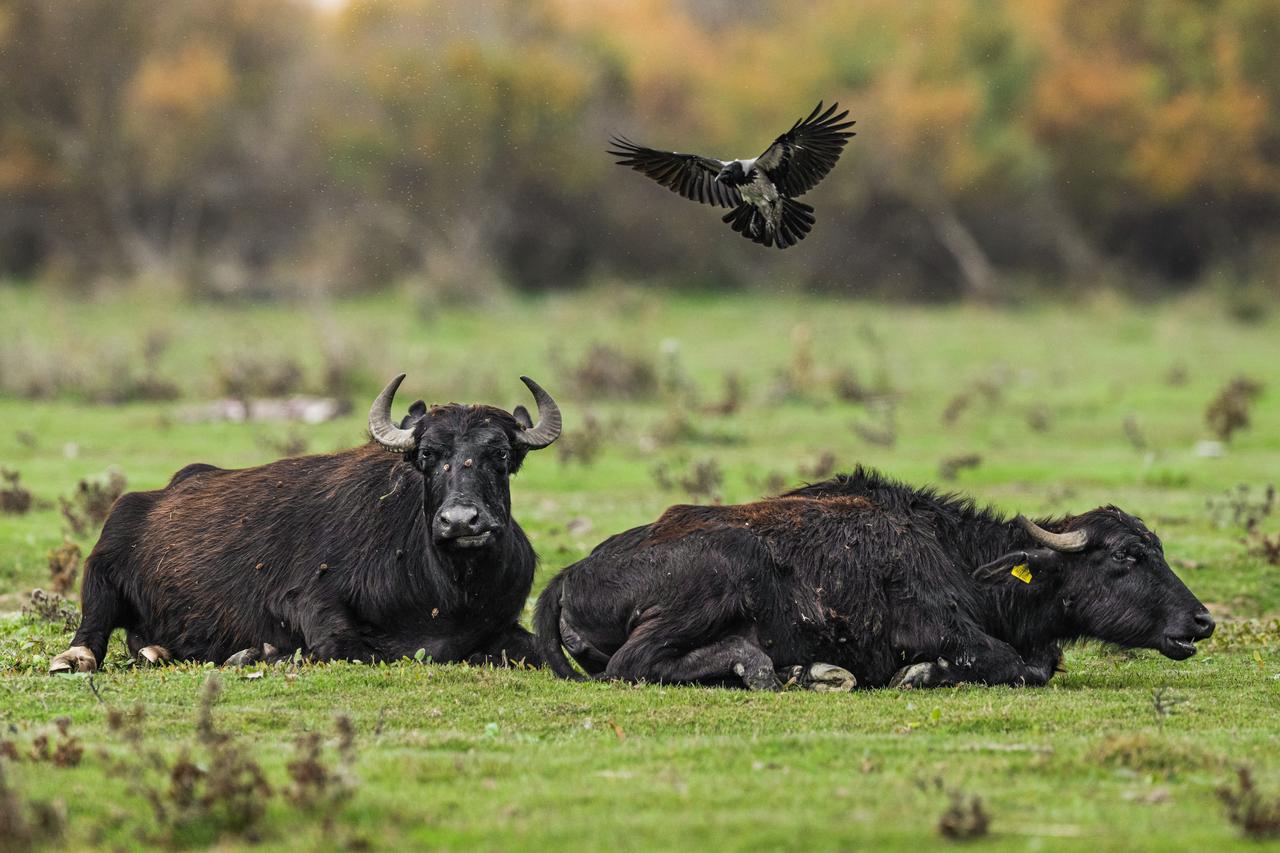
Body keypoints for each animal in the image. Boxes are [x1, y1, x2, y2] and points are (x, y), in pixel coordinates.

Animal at [49, 373, 562, 673]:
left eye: (501, 455)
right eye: (427, 456)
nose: (461, 521)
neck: (450, 589)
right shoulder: (306, 602)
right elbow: (353, 647)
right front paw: (261, 652)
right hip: (100, 571)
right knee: (93, 626)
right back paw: (74, 657)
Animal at [534, 467, 1215, 690]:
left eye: (1157, 548)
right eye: (1127, 556)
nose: (1203, 620)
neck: (954, 554)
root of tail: (570, 573)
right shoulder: (947, 632)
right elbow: (1017, 667)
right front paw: (921, 675)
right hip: (721, 572)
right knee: (635, 665)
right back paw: (773, 669)